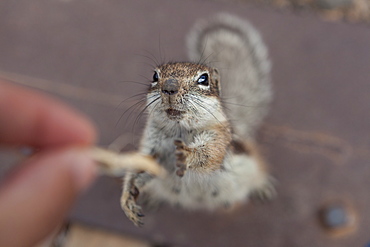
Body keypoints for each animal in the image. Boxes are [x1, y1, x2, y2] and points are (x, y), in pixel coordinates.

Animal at [120, 13, 274, 226]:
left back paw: (262, 187)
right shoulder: (151, 147)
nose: (169, 87)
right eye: (154, 76)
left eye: (204, 79)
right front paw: (127, 198)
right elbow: (140, 169)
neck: (180, 129)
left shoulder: (219, 137)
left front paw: (186, 154)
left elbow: (210, 154)